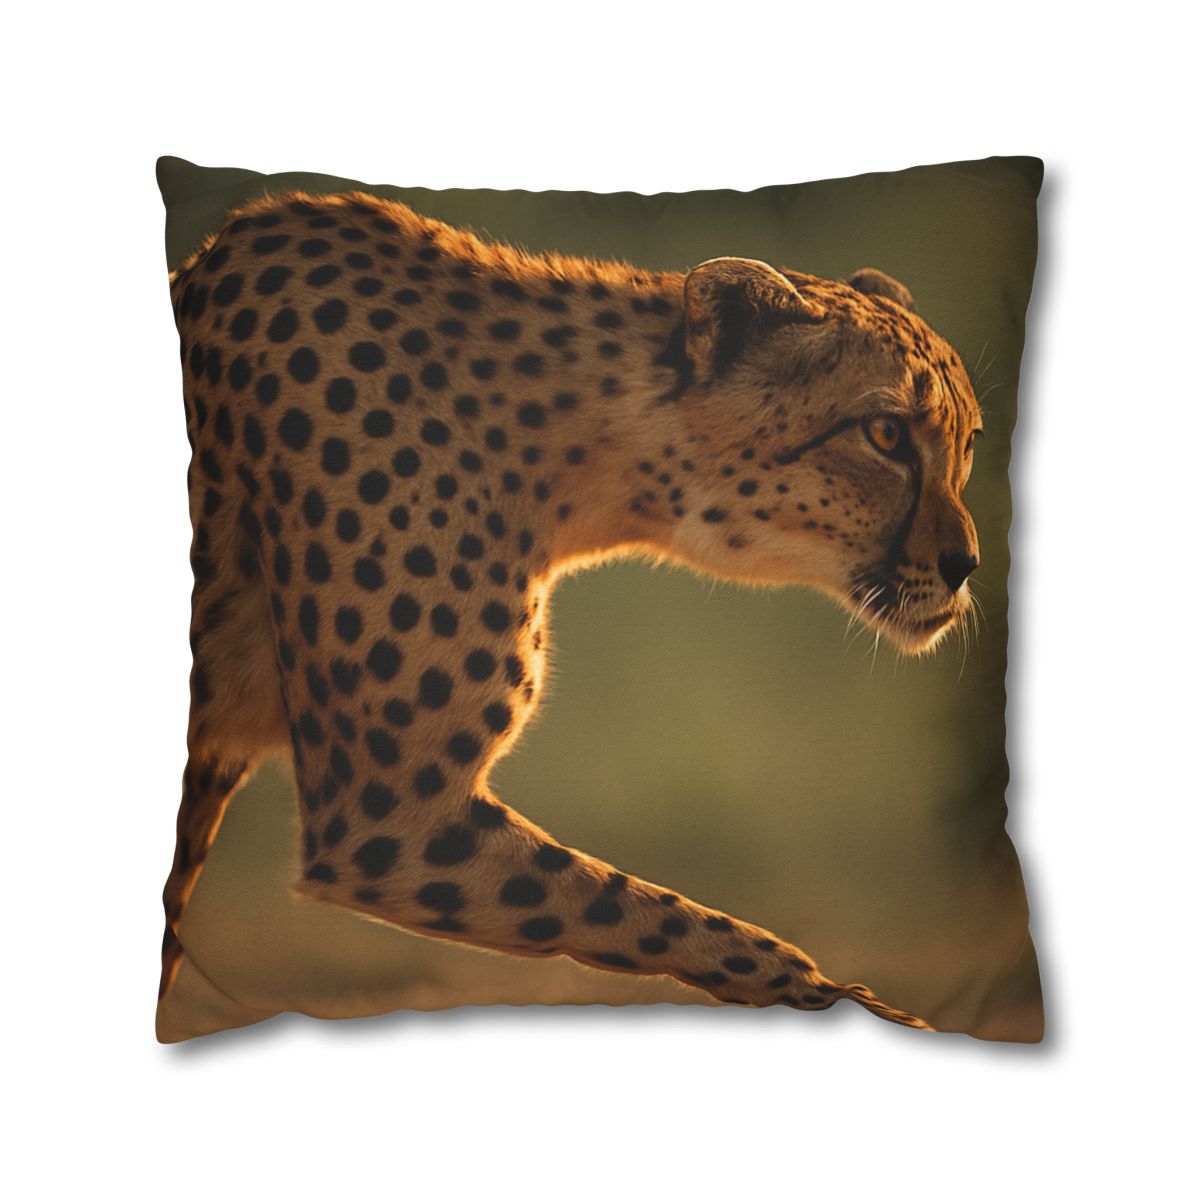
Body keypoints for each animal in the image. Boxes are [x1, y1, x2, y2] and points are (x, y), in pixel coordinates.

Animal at [161, 190, 983, 1032]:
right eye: (884, 434)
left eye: (970, 441)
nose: (967, 566)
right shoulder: (385, 820)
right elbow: (664, 916)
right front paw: (867, 1011)